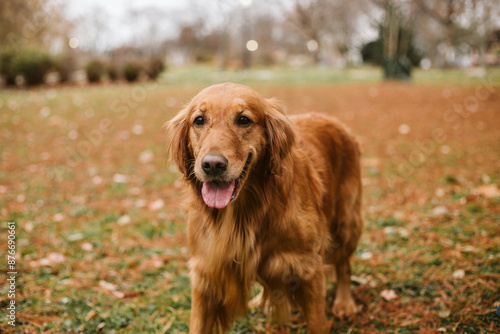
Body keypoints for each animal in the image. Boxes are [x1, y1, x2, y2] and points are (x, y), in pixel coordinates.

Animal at [165, 82, 364, 332]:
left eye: (243, 120)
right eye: (199, 120)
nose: (212, 165)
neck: (247, 211)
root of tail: (335, 121)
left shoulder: (309, 268)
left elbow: (317, 322)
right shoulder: (205, 273)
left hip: (347, 221)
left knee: (344, 264)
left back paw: (344, 302)